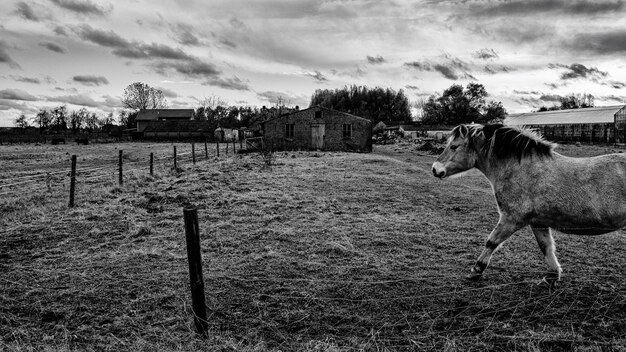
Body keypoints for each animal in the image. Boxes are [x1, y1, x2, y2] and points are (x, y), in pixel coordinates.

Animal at [428, 124, 624, 286]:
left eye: (454, 146)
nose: (435, 169)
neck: (520, 169)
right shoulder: (538, 222)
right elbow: (546, 247)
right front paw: (552, 276)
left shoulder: (511, 219)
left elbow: (491, 242)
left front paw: (476, 270)